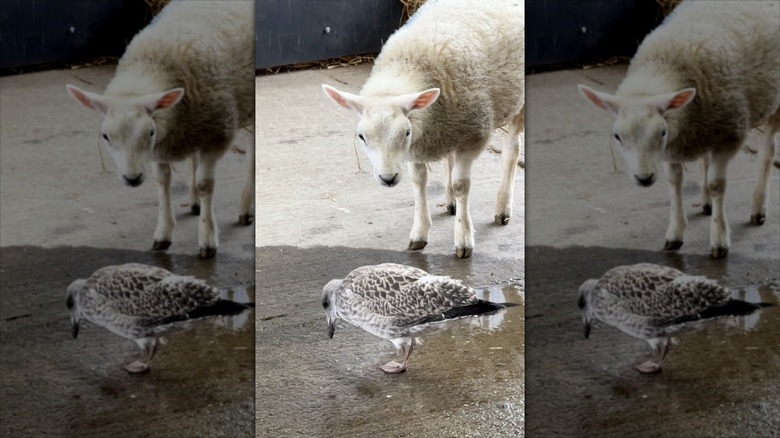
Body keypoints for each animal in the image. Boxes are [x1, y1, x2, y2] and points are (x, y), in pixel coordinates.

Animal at [65, 0, 255, 259]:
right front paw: (163, 234)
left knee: (251, 154)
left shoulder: (217, 134)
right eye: (106, 137)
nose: (132, 178)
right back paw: (194, 201)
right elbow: (162, 181)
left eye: (150, 132)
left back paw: (246, 208)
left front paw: (207, 239)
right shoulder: (163, 146)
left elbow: (206, 185)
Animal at [322, 0, 525, 259]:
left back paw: (502, 207)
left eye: (406, 133)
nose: (388, 178)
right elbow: (418, 181)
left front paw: (463, 239)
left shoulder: (472, 136)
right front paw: (419, 233)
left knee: (512, 149)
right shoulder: (419, 147)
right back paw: (450, 201)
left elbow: (461, 184)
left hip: (517, 103)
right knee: (450, 158)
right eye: (362, 137)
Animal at [578, 0, 780, 259]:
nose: (644, 178)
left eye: (661, 132)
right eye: (618, 137)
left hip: (773, 103)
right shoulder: (675, 146)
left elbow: (717, 185)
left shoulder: (728, 134)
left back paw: (758, 207)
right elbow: (674, 181)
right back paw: (706, 201)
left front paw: (719, 239)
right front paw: (675, 234)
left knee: (768, 150)